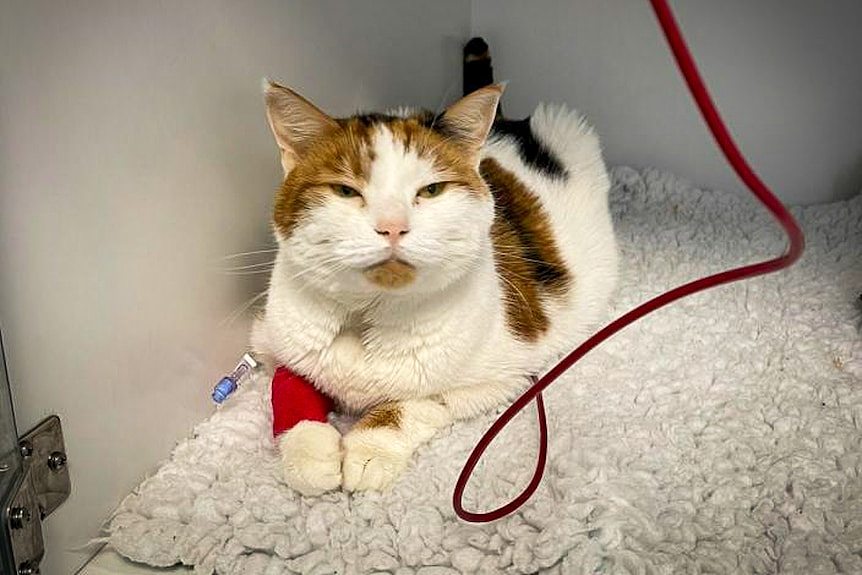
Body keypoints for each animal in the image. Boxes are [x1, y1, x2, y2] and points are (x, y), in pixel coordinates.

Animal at [253, 44, 616, 500]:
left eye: (431, 190)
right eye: (346, 191)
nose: (392, 226)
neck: (369, 313)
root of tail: (505, 121)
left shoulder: (505, 379)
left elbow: (412, 403)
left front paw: (368, 450)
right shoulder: (273, 341)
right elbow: (288, 389)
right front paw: (309, 452)